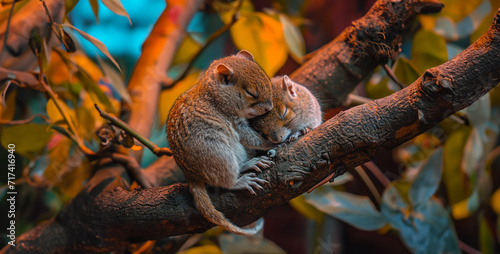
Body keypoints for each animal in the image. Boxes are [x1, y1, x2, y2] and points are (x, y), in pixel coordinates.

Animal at [166, 50, 274, 236]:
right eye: (250, 92)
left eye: (267, 79)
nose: (270, 107)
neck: (214, 93)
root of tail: (192, 175)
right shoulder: (235, 121)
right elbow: (252, 138)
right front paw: (277, 141)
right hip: (219, 154)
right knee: (226, 181)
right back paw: (241, 179)